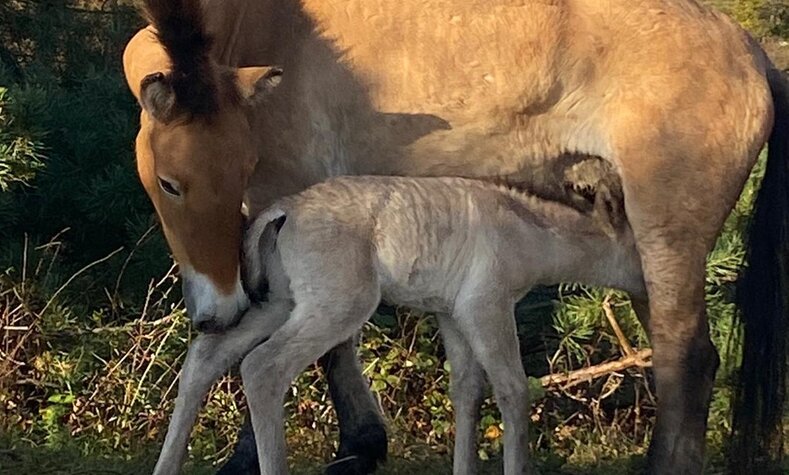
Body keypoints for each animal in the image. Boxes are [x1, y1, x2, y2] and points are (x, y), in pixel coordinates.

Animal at [151, 176, 644, 475]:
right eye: (638, 247)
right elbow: (513, 389)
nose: (652, 283)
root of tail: (277, 215)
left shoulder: (449, 312)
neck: (531, 241)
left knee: (207, 353)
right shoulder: (485, 303)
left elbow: (466, 390)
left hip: (281, 301)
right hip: (339, 302)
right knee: (262, 367)